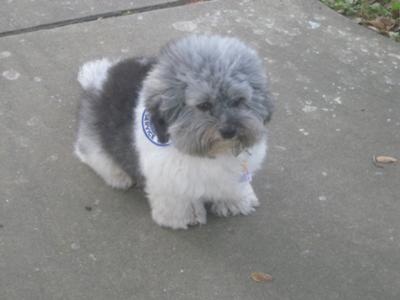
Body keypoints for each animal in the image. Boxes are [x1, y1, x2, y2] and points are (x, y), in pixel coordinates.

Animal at [74, 35, 276, 229]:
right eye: (204, 105)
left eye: (238, 100)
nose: (229, 131)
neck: (214, 153)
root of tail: (101, 77)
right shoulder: (169, 181)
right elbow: (179, 202)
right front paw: (186, 217)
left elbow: (231, 187)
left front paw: (235, 202)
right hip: (93, 138)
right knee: (89, 154)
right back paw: (119, 176)